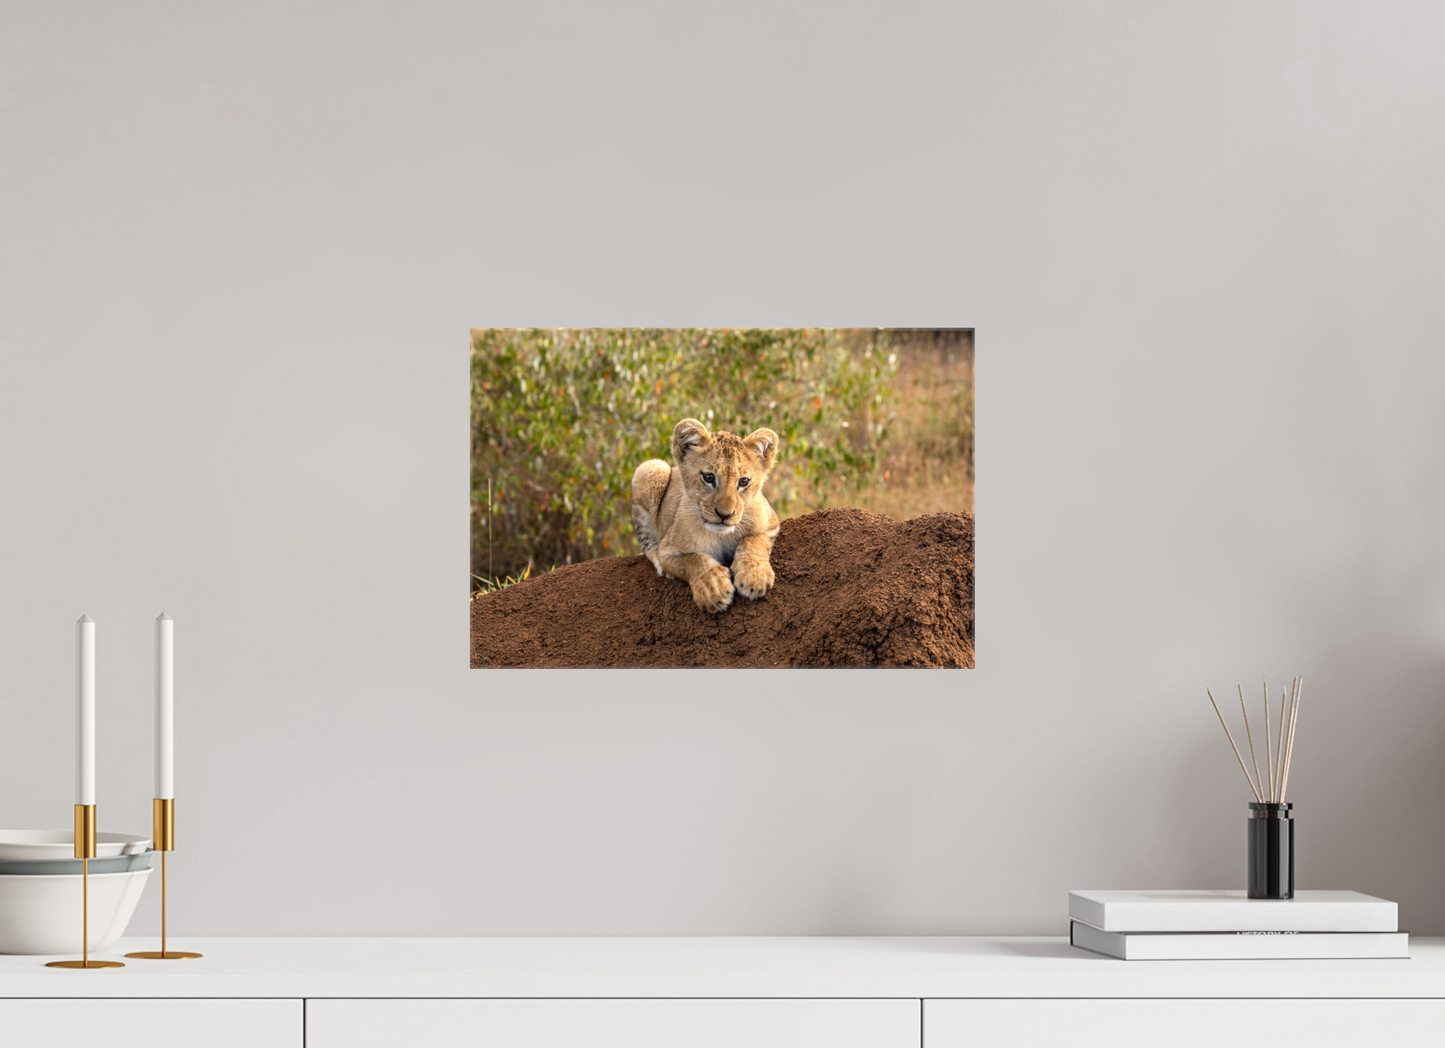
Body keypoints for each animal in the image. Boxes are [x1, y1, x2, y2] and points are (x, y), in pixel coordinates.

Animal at [630, 418, 781, 613]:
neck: (722, 535)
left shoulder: (771, 521)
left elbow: (754, 540)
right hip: (651, 468)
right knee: (647, 543)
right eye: (709, 477)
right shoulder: (668, 550)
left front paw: (754, 575)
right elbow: (693, 560)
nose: (725, 514)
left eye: (743, 482)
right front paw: (713, 587)